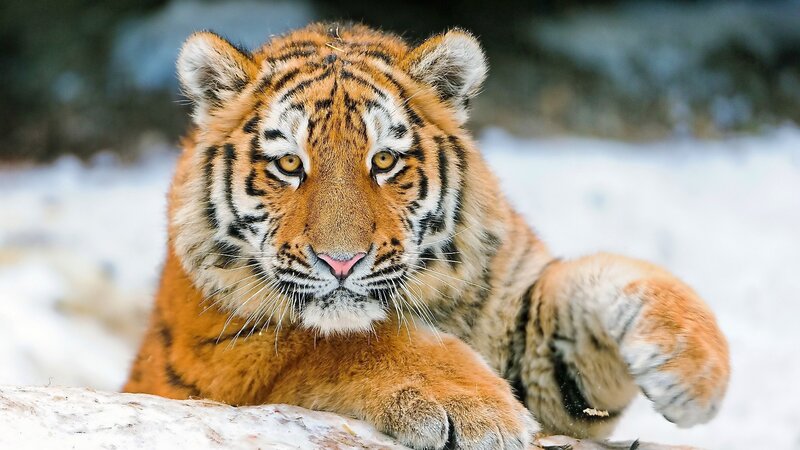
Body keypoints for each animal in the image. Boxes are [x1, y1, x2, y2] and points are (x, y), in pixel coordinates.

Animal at [124, 23, 730, 449]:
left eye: (384, 161)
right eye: (290, 164)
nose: (340, 262)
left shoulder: (526, 327)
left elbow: (604, 275)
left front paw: (696, 369)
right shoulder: (224, 352)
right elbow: (347, 341)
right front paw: (476, 410)